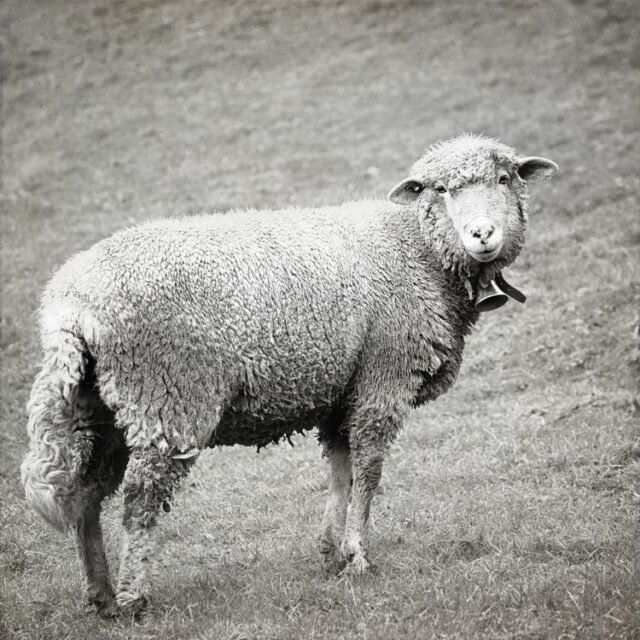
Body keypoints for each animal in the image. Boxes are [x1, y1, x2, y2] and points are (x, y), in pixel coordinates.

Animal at [21, 133, 557, 617]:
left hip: (97, 406)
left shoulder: (343, 393)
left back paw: (100, 594)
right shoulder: (383, 379)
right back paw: (133, 597)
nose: (482, 234)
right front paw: (358, 556)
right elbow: (368, 471)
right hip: (167, 396)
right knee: (138, 500)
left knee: (85, 495)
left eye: (505, 179)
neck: (417, 249)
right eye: (440, 190)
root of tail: (69, 304)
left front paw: (332, 553)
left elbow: (341, 472)